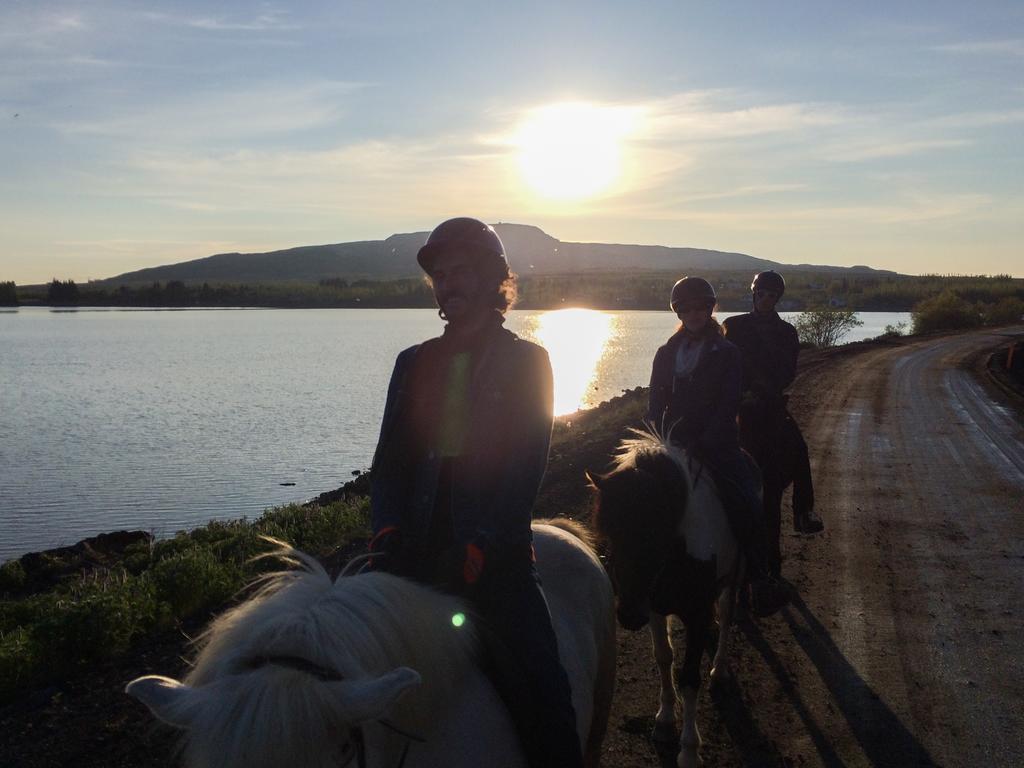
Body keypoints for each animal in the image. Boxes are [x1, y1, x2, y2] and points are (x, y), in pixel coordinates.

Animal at [585, 428, 745, 768]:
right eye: (611, 535)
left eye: (655, 531)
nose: (629, 615)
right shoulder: (655, 607)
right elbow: (663, 657)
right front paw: (665, 719)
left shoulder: (695, 615)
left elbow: (689, 678)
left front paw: (689, 749)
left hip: (734, 576)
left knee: (726, 616)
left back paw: (720, 669)